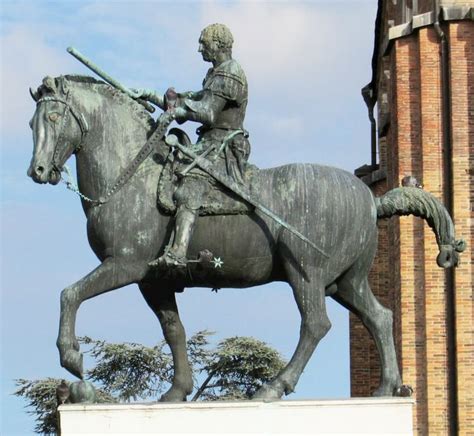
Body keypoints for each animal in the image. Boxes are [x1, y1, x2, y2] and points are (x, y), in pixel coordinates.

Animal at [25, 75, 462, 402]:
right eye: (31, 124)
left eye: (53, 115)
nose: (38, 171)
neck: (135, 176)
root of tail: (372, 201)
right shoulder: (153, 281)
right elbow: (174, 331)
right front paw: (177, 391)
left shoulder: (124, 265)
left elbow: (70, 294)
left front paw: (72, 357)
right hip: (345, 281)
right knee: (380, 317)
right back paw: (387, 388)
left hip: (307, 274)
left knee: (316, 324)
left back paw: (274, 387)